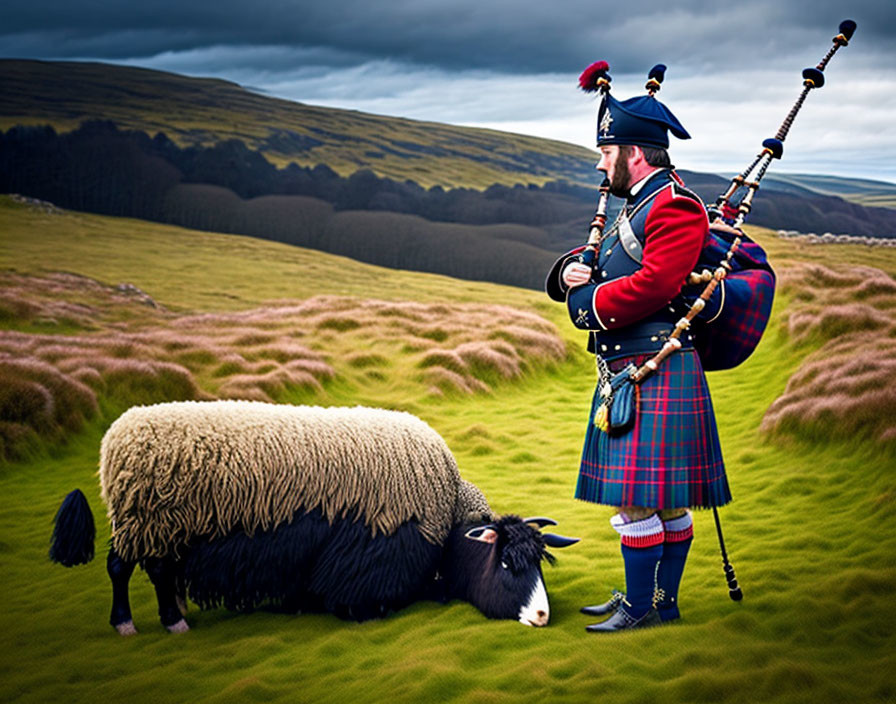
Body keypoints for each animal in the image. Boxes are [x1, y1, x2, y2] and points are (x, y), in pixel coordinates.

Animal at [52, 398, 576, 636]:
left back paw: (174, 612)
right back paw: (143, 622)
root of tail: (117, 435)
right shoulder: (371, 557)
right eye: (506, 563)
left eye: (541, 564)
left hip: (158, 527)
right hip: (144, 521)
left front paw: (300, 603)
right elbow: (363, 599)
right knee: (126, 569)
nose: (543, 614)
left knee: (155, 570)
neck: (446, 522)